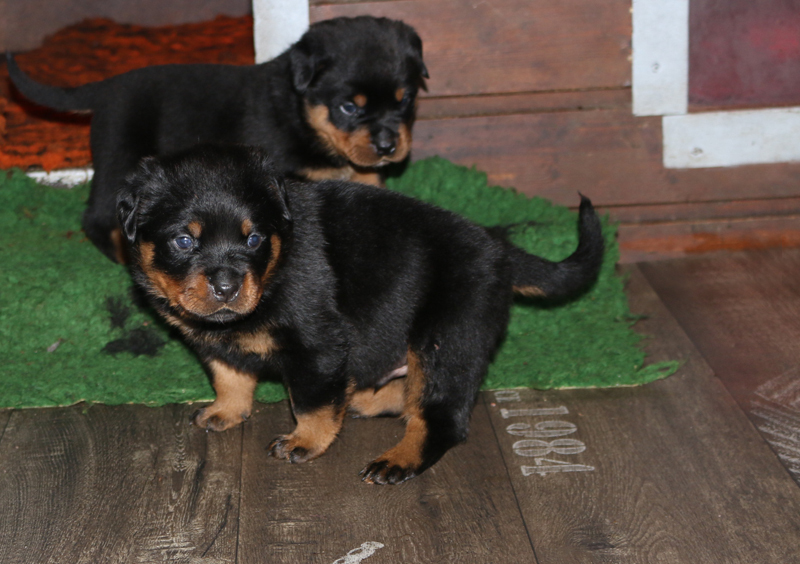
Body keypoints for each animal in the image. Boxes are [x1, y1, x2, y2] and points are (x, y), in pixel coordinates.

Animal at [7, 16, 427, 263]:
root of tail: (106, 86)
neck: (300, 113)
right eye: (349, 107)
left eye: (405, 99)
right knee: (97, 219)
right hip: (119, 157)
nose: (389, 147)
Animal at [116, 144, 604, 484]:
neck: (274, 271)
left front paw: (304, 441)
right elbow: (229, 376)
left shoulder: (319, 344)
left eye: (254, 239)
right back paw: (361, 400)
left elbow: (311, 402)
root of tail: (499, 250)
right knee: (407, 395)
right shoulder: (215, 343)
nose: (226, 287)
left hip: (447, 335)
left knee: (441, 415)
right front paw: (226, 412)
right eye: (184, 241)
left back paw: (396, 460)